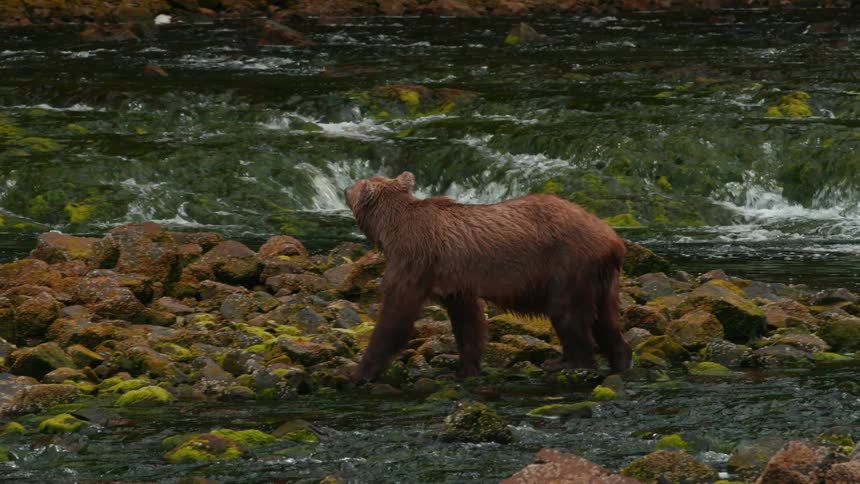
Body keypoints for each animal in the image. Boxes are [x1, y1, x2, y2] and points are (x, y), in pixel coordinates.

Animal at [345, 171, 632, 381]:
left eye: (355, 185)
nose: (346, 188)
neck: (390, 228)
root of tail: (613, 239)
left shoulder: (414, 259)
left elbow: (396, 314)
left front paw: (357, 372)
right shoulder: (455, 280)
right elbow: (468, 321)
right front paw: (465, 368)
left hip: (568, 265)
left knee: (568, 313)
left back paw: (564, 362)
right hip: (601, 278)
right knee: (606, 320)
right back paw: (621, 359)